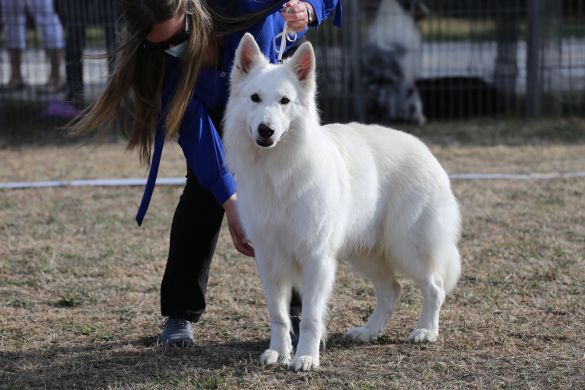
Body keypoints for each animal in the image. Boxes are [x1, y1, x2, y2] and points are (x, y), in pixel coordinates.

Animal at [224, 33, 460, 372]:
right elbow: (279, 315)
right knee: (392, 290)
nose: (265, 131)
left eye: (284, 101)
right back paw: (369, 332)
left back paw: (426, 330)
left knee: (434, 286)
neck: (279, 170)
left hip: (408, 247)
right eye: (255, 98)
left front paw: (306, 357)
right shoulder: (268, 259)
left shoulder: (316, 259)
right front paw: (278, 352)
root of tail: (424, 149)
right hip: (364, 253)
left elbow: (310, 317)